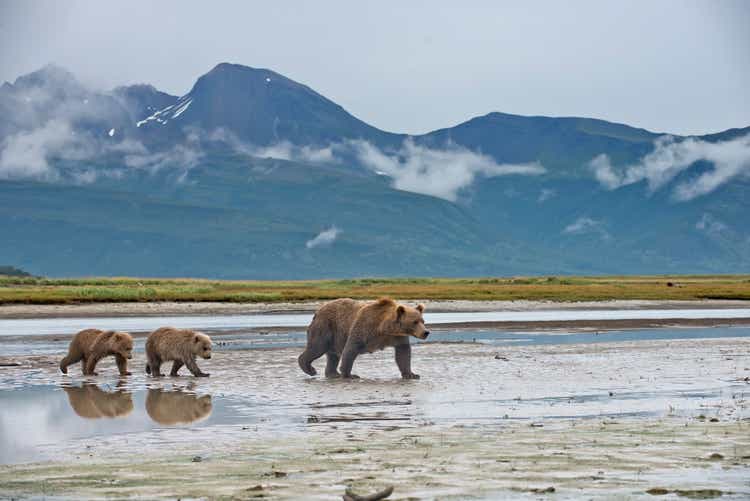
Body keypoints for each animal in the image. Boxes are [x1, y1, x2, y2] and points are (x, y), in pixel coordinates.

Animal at [298, 298, 432, 376]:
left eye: (423, 321)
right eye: (415, 322)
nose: (426, 332)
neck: (384, 328)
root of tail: (318, 311)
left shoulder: (397, 337)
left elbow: (403, 354)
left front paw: (412, 374)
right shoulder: (365, 327)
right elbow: (351, 349)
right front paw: (349, 374)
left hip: (334, 337)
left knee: (333, 355)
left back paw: (332, 374)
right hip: (326, 327)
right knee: (317, 347)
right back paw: (310, 369)